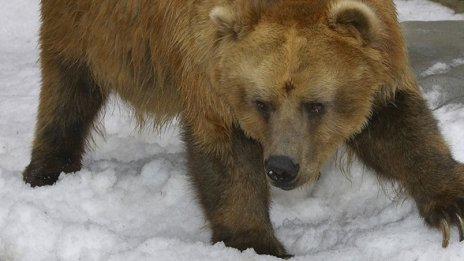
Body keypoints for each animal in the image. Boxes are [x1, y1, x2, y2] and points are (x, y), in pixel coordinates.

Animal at [23, 0, 464, 256]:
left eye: (316, 104)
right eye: (261, 102)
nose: (281, 167)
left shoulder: (381, 57)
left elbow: (399, 128)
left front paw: (451, 204)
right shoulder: (208, 65)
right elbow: (227, 160)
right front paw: (257, 242)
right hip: (91, 24)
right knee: (68, 83)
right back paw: (46, 169)